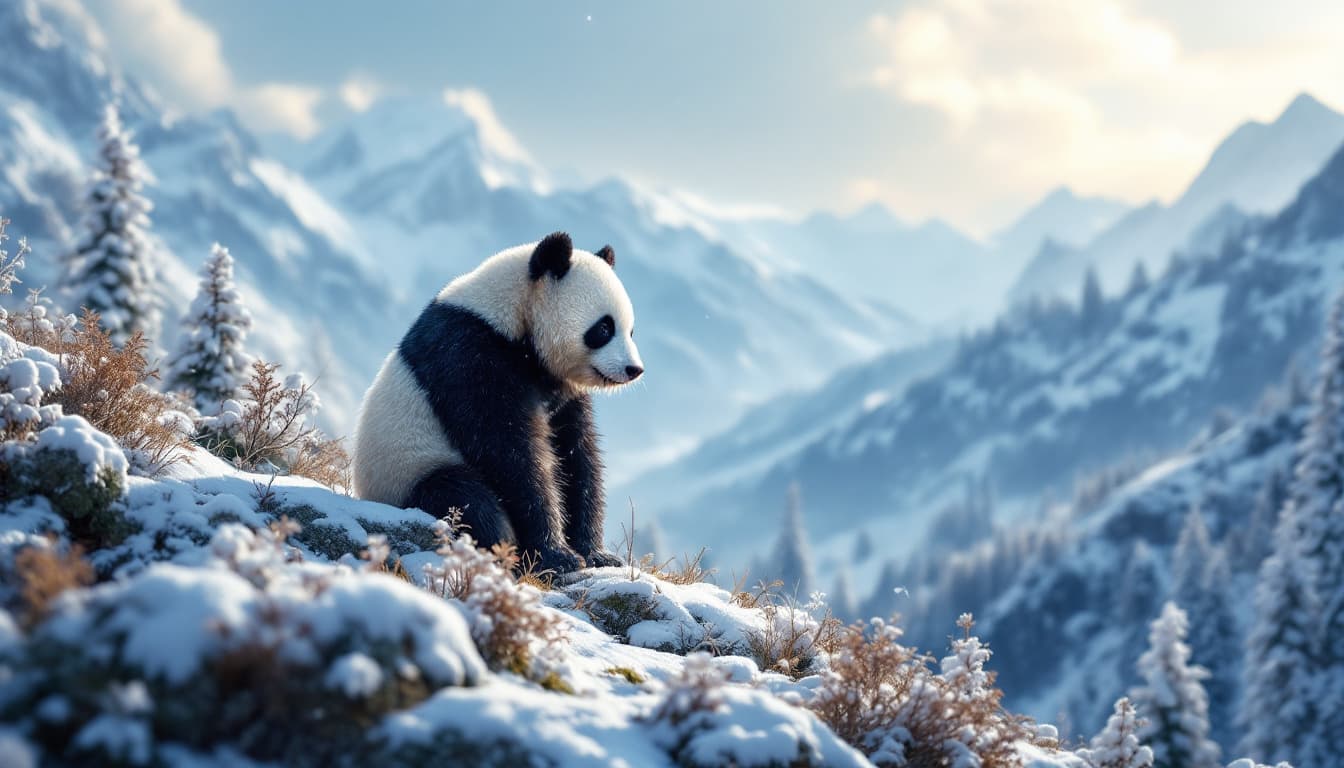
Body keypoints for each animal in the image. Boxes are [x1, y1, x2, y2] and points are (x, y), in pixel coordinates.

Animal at [352, 232, 643, 573]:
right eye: (603, 328)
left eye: (630, 330)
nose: (633, 369)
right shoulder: (471, 355)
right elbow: (508, 452)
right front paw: (557, 556)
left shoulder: (558, 388)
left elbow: (575, 454)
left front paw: (597, 554)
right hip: (406, 470)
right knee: (461, 496)